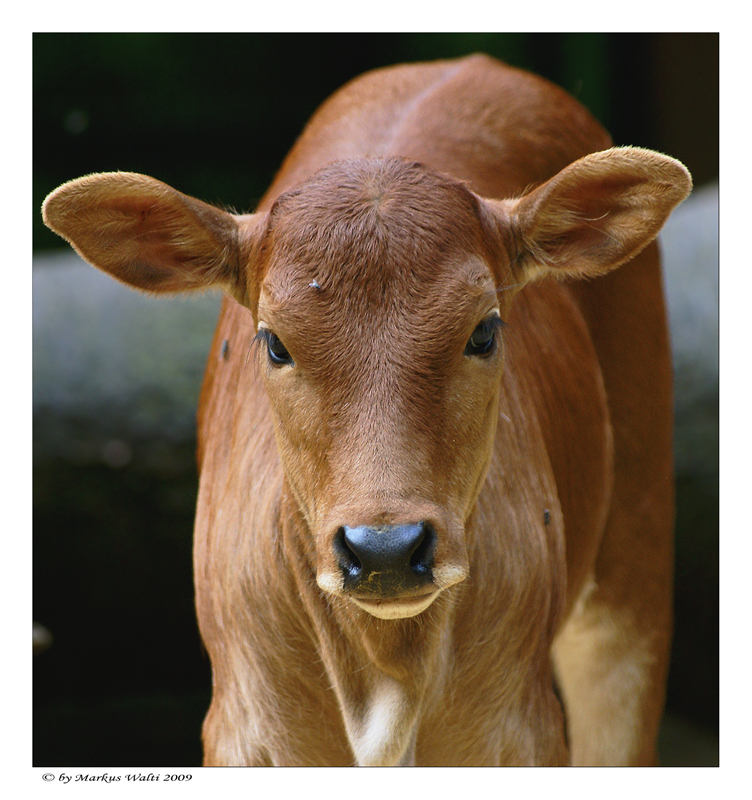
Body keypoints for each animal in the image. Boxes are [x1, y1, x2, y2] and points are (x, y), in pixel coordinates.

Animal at [39, 53, 688, 764]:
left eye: (484, 331)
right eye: (274, 341)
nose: (385, 551)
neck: (386, 675)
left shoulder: (522, 728)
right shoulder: (242, 728)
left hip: (636, 549)